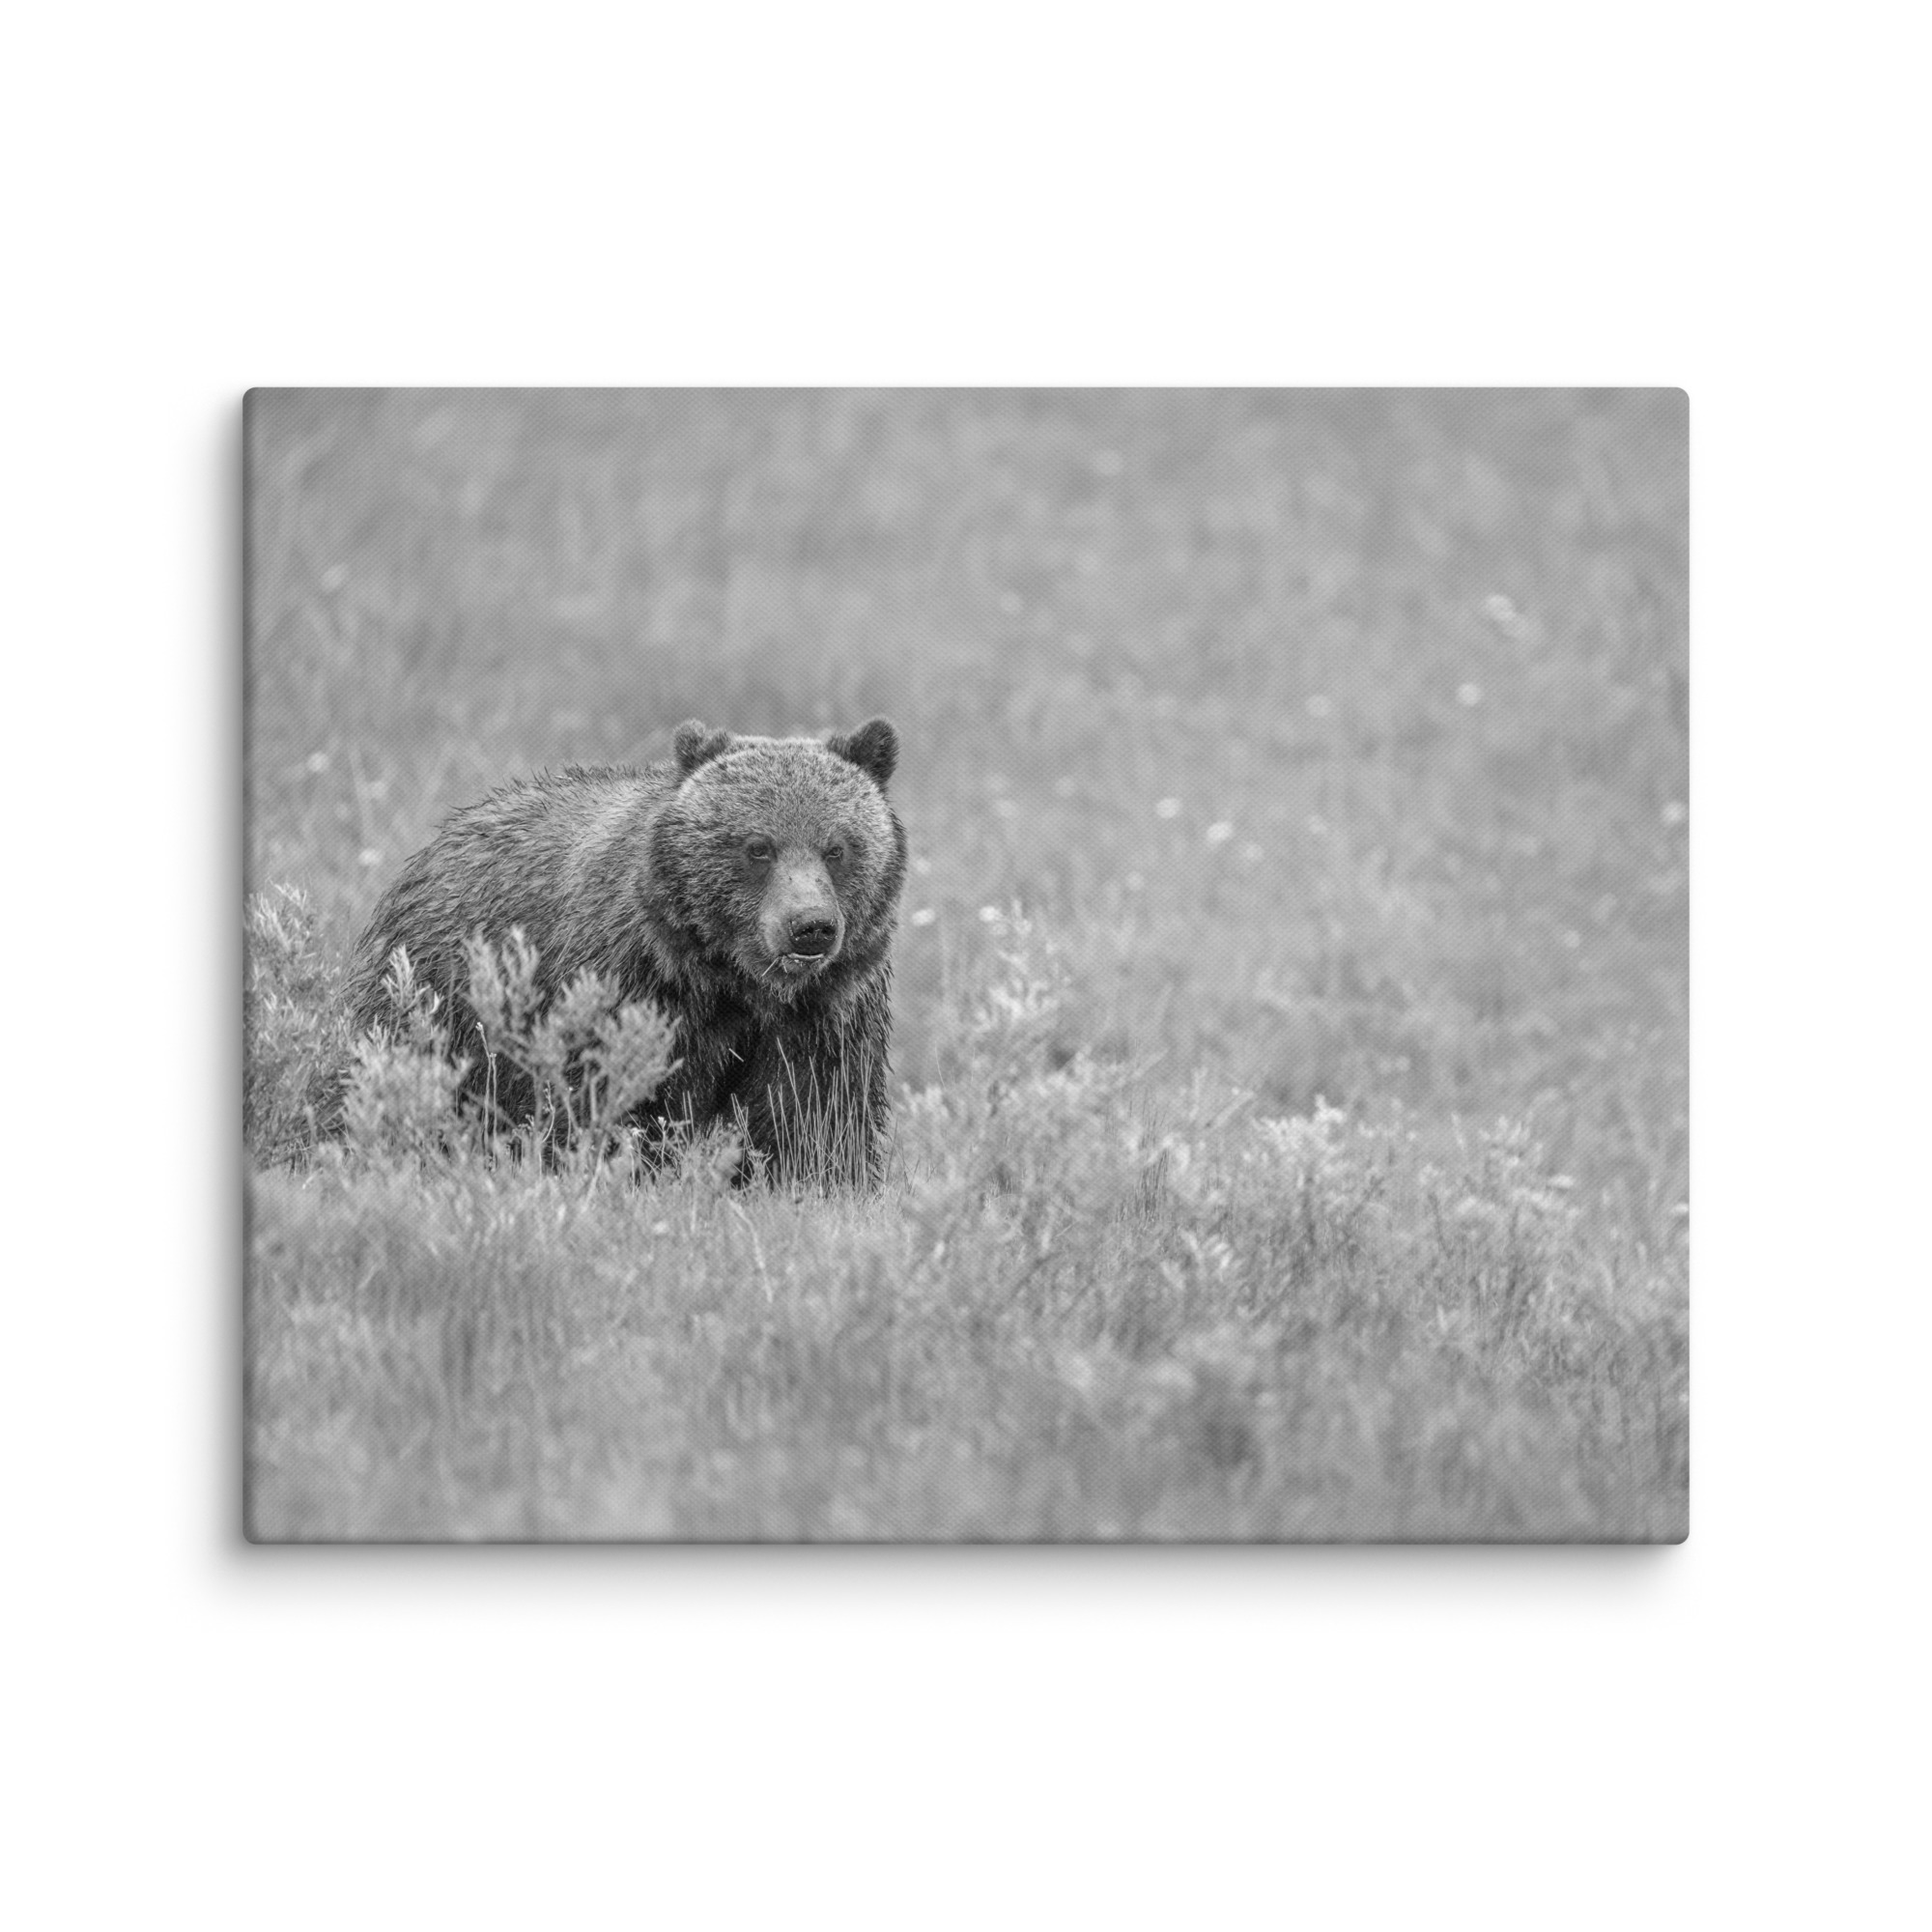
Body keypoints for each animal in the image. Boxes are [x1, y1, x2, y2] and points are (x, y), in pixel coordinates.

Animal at [344, 717, 905, 1186]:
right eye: (758, 847)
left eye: (837, 847)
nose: (810, 927)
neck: (733, 981)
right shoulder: (631, 985)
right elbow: (613, 1097)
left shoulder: (824, 1013)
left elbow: (815, 1116)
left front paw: (817, 1185)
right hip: (438, 997)